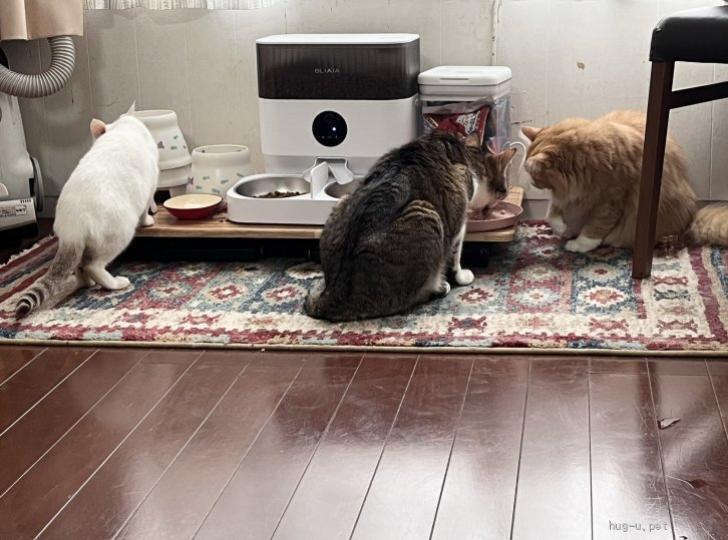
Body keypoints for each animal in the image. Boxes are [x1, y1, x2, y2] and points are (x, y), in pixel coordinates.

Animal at [15, 103, 159, 318]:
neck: (121, 128)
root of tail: (72, 229)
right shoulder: (151, 185)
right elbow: (146, 209)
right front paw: (149, 220)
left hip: (84, 246)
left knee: (81, 267)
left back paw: (87, 283)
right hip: (118, 236)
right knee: (93, 265)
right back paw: (116, 283)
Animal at [304, 131, 517, 322]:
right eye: (503, 191)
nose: (502, 197)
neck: (464, 153)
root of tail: (332, 297)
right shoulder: (458, 218)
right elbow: (456, 254)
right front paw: (461, 276)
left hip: (342, 201)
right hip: (426, 213)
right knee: (407, 299)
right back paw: (439, 287)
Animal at [521, 110, 728, 252]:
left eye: (534, 177)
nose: (532, 184)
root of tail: (692, 218)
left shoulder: (612, 200)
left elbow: (596, 227)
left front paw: (579, 244)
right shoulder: (567, 197)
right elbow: (551, 214)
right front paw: (561, 229)